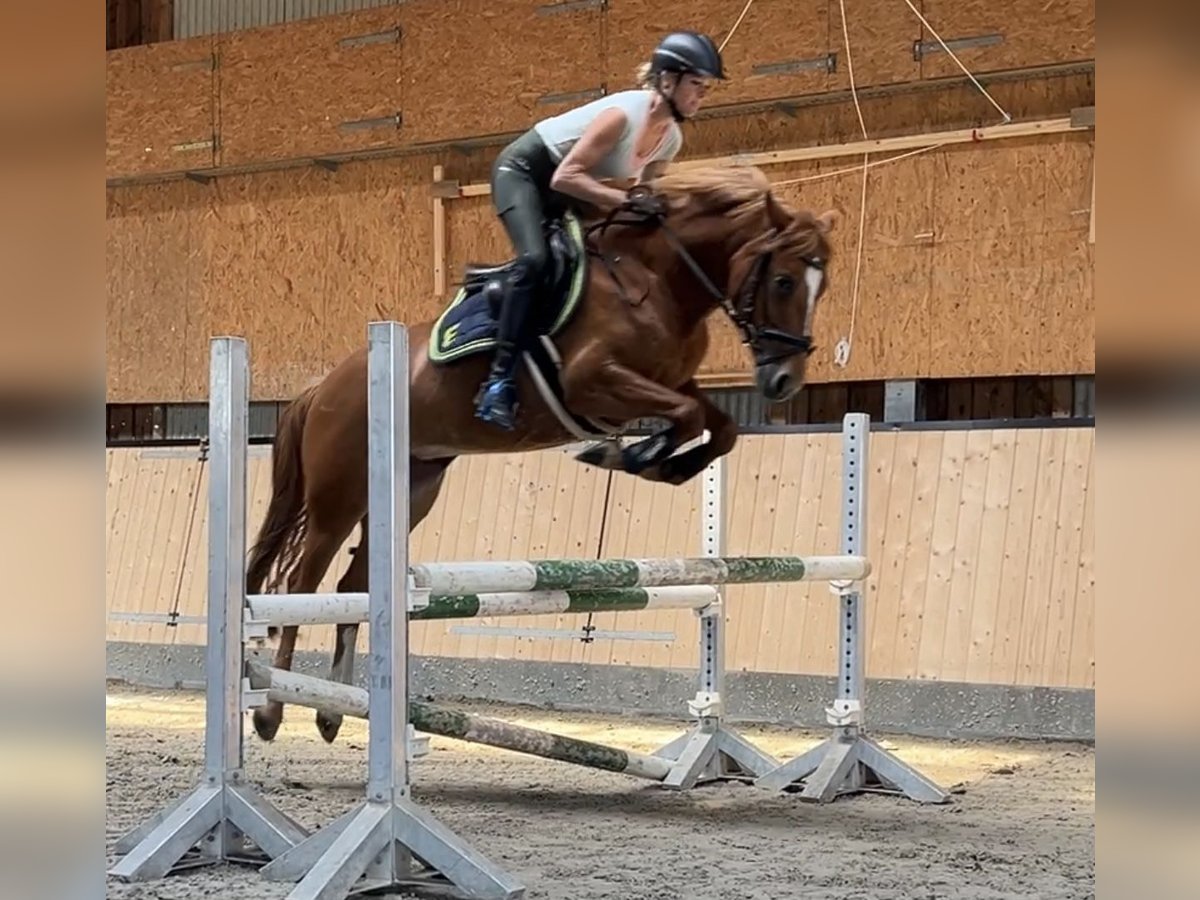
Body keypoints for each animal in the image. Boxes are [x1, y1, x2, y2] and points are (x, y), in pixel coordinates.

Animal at [248, 165, 840, 744]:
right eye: (784, 281)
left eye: (822, 286)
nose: (784, 381)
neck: (656, 279)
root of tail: (323, 387)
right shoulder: (594, 383)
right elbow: (690, 419)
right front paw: (629, 455)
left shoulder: (672, 383)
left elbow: (721, 427)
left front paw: (665, 464)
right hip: (340, 495)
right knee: (302, 585)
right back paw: (272, 711)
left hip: (409, 489)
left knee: (355, 585)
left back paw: (332, 711)